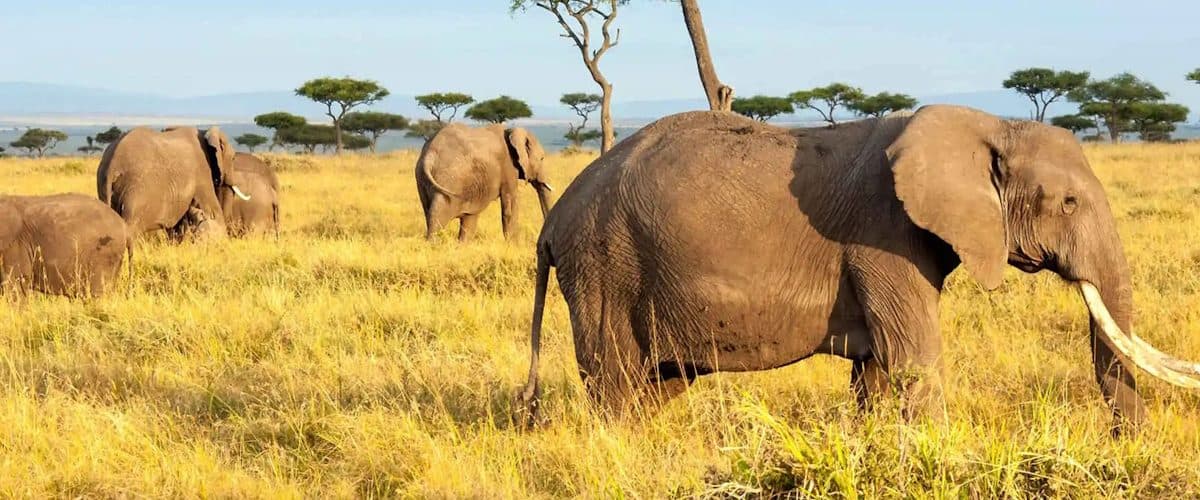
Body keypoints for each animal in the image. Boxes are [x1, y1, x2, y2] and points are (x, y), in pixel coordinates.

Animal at [96, 126, 253, 241]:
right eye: (233, 158)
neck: (204, 131)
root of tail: (113, 165)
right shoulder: (201, 171)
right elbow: (212, 208)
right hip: (136, 190)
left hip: (104, 184)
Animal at [415, 124, 553, 242]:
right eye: (542, 158)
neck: (511, 131)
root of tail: (429, 155)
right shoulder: (508, 167)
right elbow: (510, 206)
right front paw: (514, 246)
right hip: (450, 178)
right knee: (438, 216)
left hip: (424, 180)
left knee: (465, 215)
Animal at [516, 105, 1200, 431]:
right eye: (1068, 203)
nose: (1127, 444)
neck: (984, 125)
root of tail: (553, 222)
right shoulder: (881, 234)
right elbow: (913, 359)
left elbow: (876, 369)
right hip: (605, 264)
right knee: (616, 384)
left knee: (659, 384)